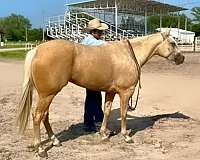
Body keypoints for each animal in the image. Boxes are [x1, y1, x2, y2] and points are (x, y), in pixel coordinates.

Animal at [16, 31, 184, 157]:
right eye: (172, 43)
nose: (181, 58)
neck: (129, 55)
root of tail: (37, 50)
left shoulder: (110, 92)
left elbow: (107, 112)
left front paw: (103, 134)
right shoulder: (125, 92)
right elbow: (123, 114)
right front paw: (126, 136)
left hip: (47, 95)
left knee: (45, 116)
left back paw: (55, 141)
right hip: (47, 94)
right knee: (37, 116)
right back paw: (40, 149)